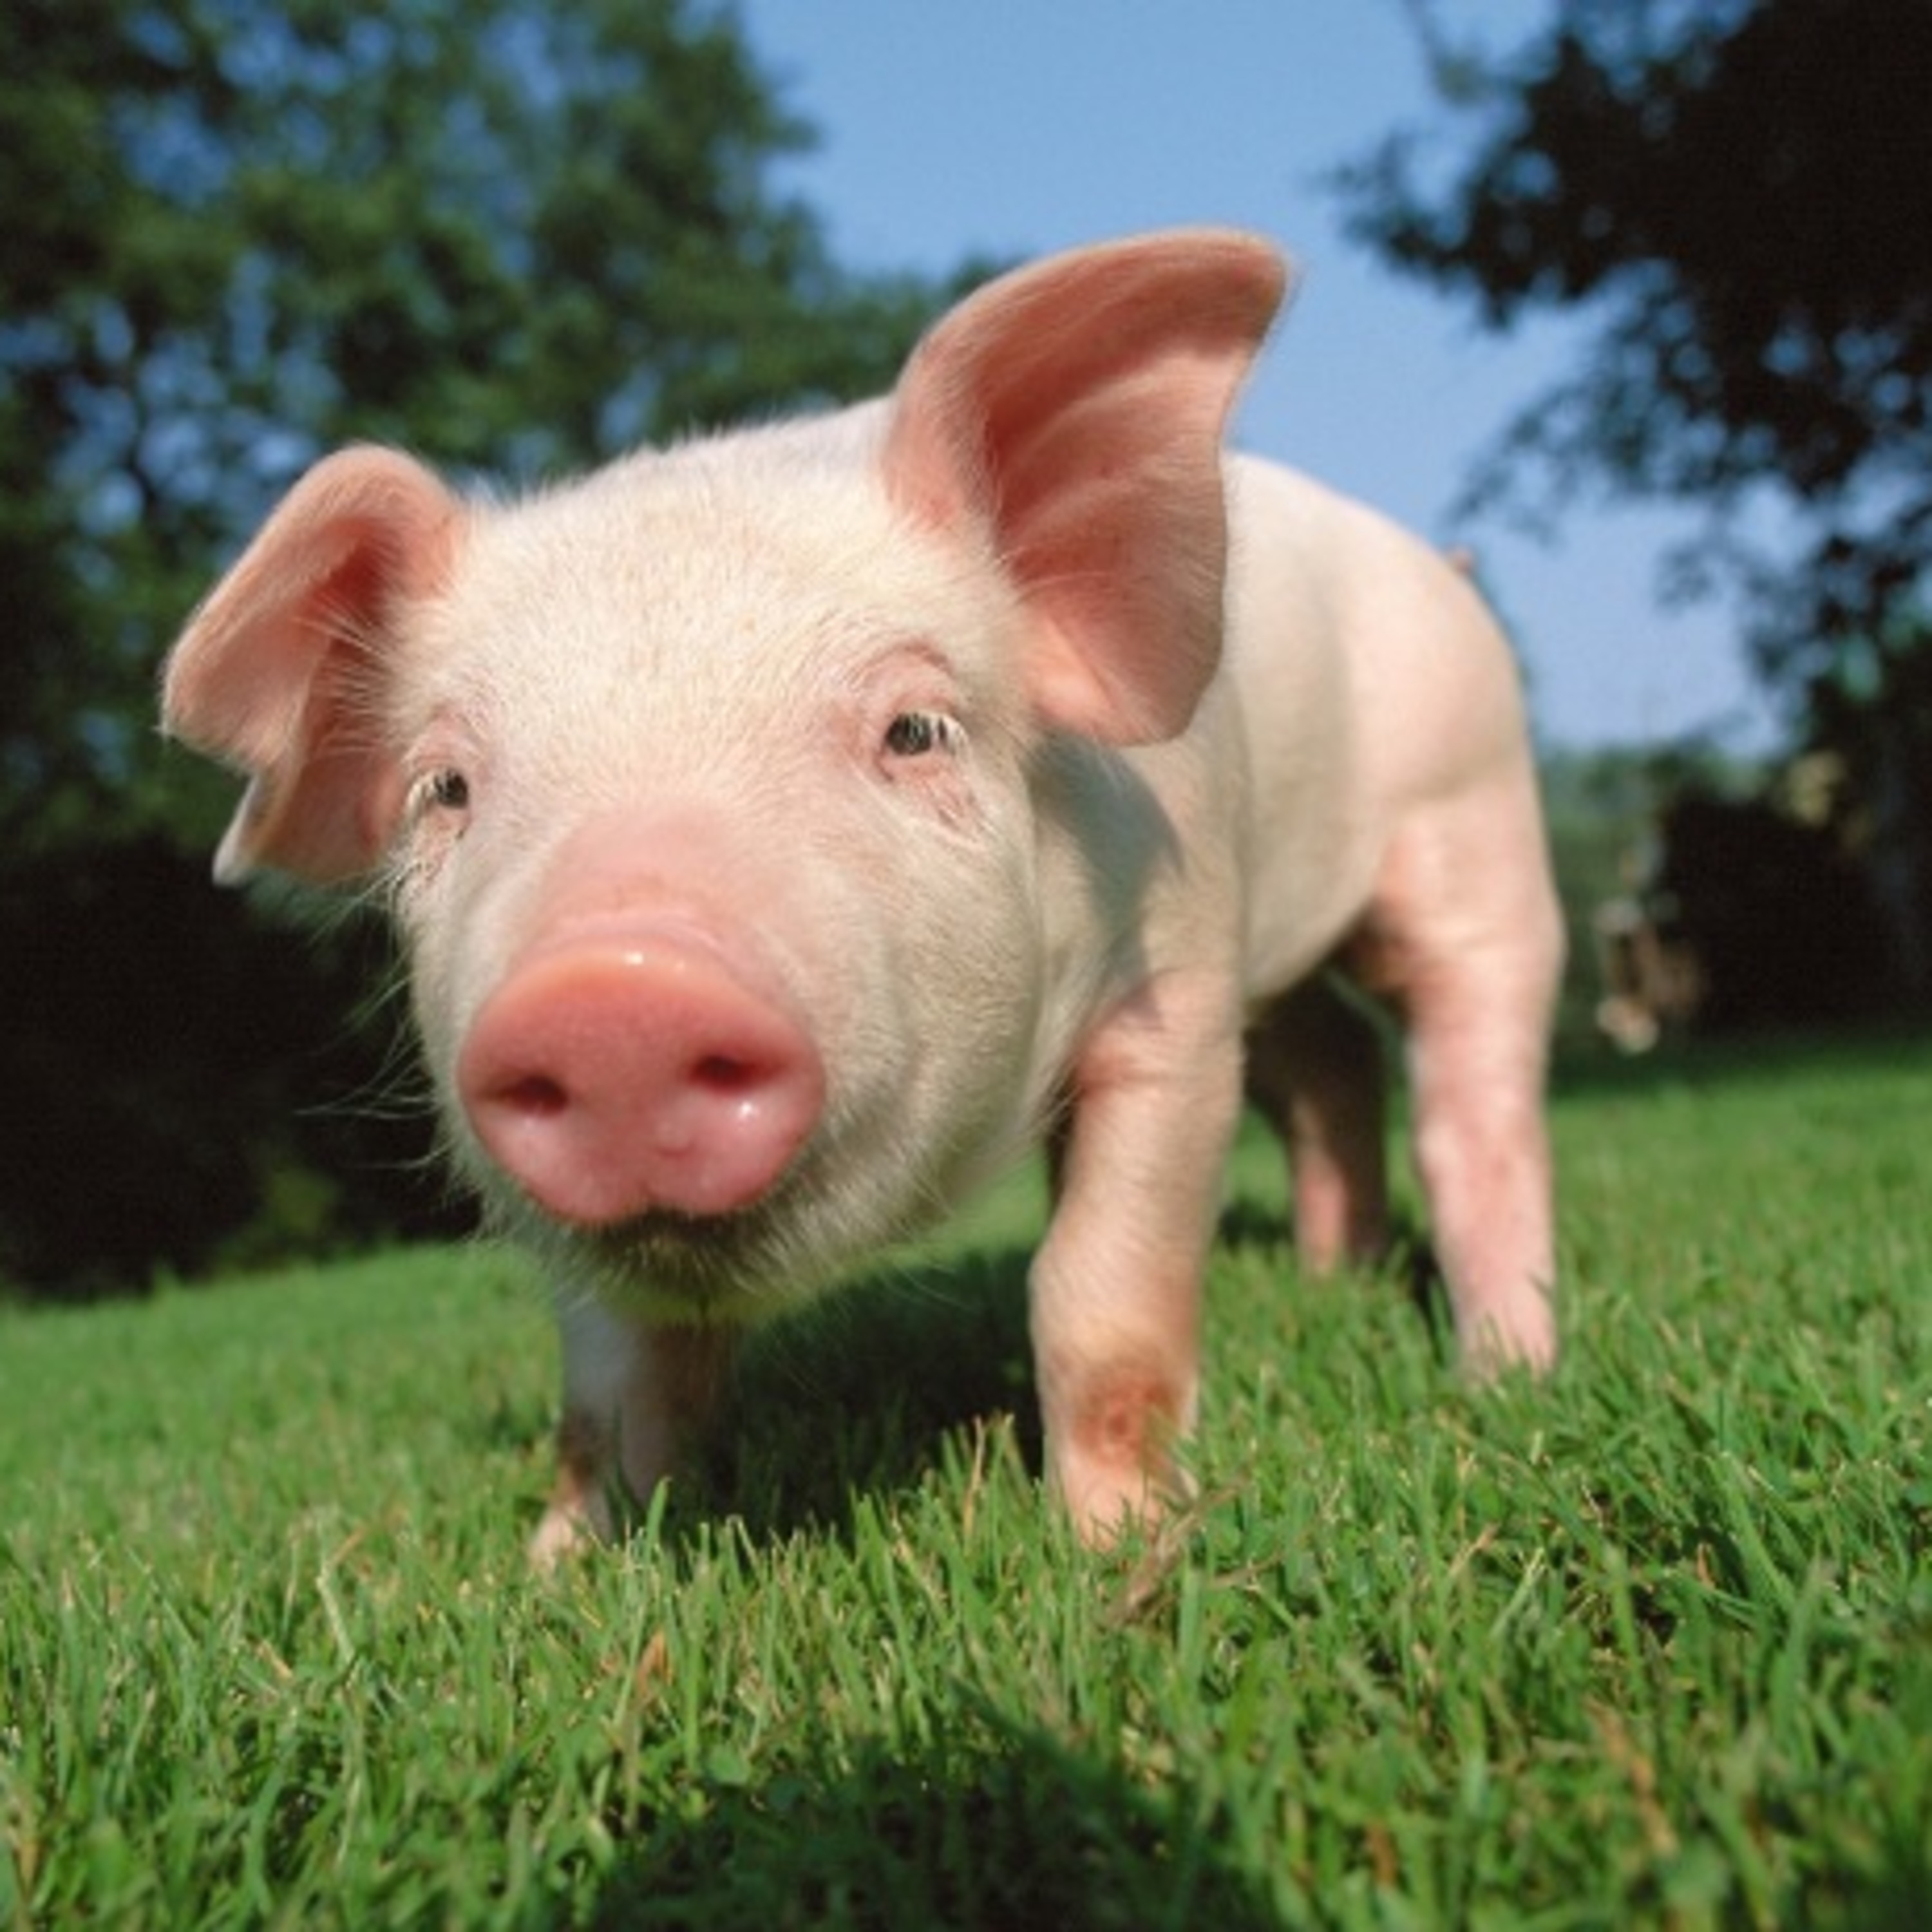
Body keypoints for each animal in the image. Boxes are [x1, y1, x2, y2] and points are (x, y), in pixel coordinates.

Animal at [160, 229, 1562, 1562]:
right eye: (444, 788)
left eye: (914, 730)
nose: (615, 994)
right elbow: (611, 1383)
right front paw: (554, 1571)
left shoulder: (1178, 983)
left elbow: (1099, 1293)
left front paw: (1122, 1551)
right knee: (1333, 1068)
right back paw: (1333, 1286)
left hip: (1475, 811)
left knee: (1470, 1089)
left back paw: (1506, 1373)